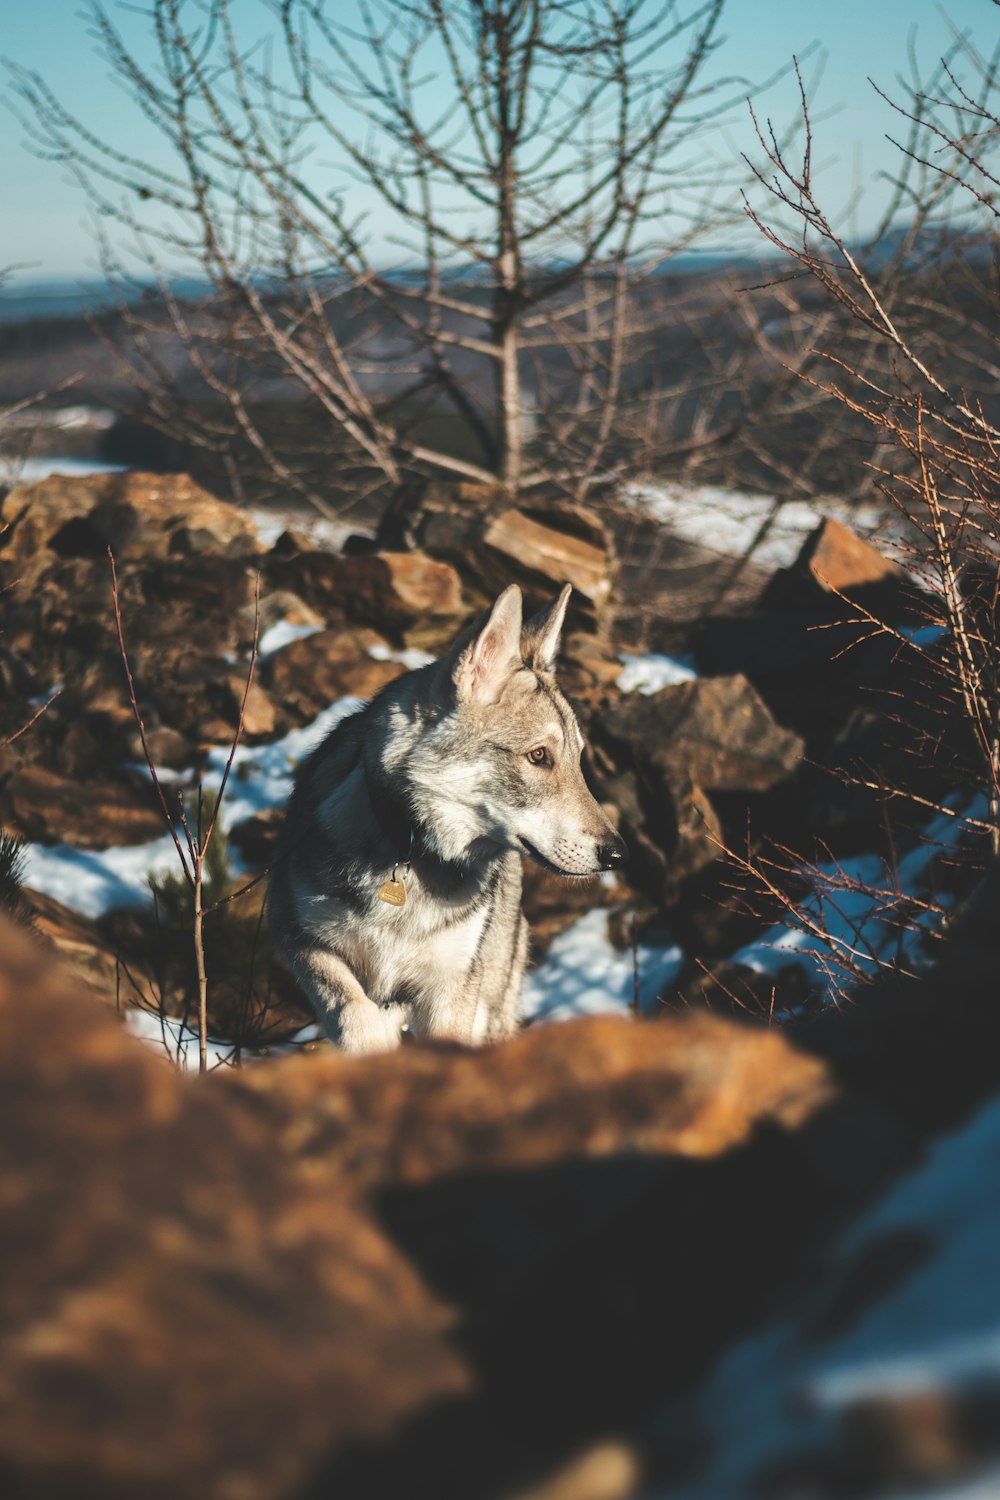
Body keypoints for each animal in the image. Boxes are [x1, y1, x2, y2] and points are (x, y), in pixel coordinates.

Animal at [268, 579, 626, 1050]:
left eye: (578, 759)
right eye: (538, 756)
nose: (617, 854)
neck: (411, 854)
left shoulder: (452, 988)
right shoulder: (299, 939)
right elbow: (353, 1011)